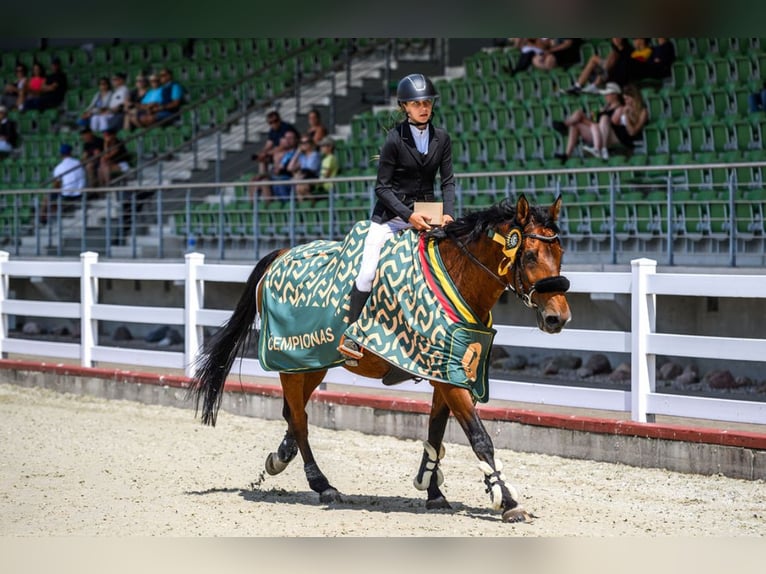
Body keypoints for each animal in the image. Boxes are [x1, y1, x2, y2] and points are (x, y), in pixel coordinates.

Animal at [189, 196, 572, 524]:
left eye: (561, 252)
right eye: (530, 255)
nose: (558, 318)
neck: (458, 277)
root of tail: (283, 253)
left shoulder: (445, 369)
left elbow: (435, 433)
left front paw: (432, 489)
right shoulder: (449, 376)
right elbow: (480, 439)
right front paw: (507, 502)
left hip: (313, 361)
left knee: (292, 414)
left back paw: (281, 458)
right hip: (292, 360)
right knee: (298, 418)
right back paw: (322, 484)